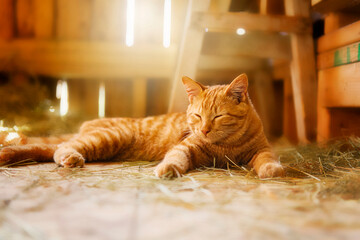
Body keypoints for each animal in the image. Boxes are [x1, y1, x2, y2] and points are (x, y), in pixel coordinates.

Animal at [0, 74, 286, 178]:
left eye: (217, 117)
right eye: (196, 116)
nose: (204, 130)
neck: (225, 145)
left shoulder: (262, 149)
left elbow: (266, 158)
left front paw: (271, 169)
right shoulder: (186, 147)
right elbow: (176, 157)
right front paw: (167, 169)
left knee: (49, 147)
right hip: (108, 138)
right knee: (62, 147)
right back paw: (70, 158)